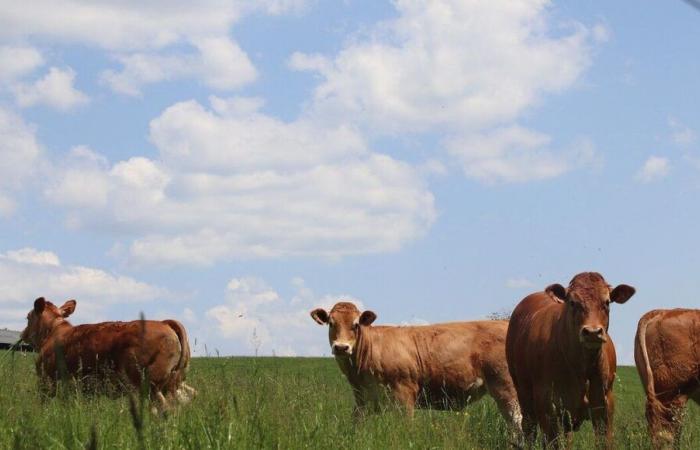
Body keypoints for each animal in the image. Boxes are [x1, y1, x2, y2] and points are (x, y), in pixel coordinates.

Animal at [20, 298, 196, 414]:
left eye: (28, 317)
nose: (23, 334)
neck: (53, 332)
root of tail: (164, 322)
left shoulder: (46, 382)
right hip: (174, 383)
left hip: (150, 383)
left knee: (164, 408)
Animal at [308, 302, 524, 432]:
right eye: (331, 323)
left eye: (355, 325)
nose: (341, 347)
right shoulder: (363, 399)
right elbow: (357, 425)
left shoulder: (404, 394)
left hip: (506, 387)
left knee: (517, 421)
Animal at [504, 272, 636, 448]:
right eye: (573, 302)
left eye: (607, 302)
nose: (592, 332)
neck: (582, 366)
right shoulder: (548, 405)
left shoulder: (604, 405)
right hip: (524, 395)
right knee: (530, 429)